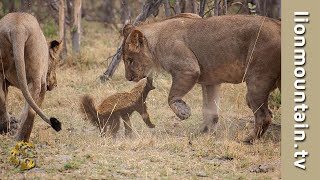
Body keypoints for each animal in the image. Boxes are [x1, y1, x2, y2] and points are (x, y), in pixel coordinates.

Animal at [0, 13, 62, 142]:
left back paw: (5, 130)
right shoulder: (43, 85)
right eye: (55, 62)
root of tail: (18, 27)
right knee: (30, 111)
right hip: (35, 78)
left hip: (0, 73)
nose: (55, 84)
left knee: (2, 101)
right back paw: (22, 139)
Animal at [120, 13, 280, 143]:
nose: (128, 78)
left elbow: (171, 97)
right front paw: (204, 133)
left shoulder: (188, 69)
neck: (156, 41)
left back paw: (247, 139)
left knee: (264, 115)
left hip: (258, 79)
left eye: (130, 60)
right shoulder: (211, 81)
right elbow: (210, 110)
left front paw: (183, 112)